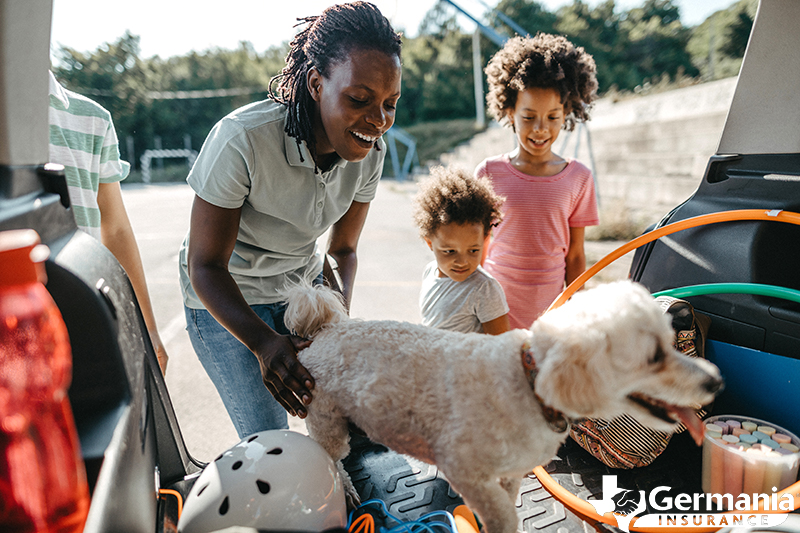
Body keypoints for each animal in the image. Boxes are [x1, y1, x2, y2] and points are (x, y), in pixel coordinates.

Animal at [282, 278, 724, 532]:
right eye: (654, 356)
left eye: (673, 340)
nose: (715, 380)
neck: (530, 384)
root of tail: (325, 329)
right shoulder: (465, 469)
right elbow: (502, 517)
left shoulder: (509, 471)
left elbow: (507, 503)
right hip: (325, 417)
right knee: (332, 456)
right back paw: (346, 488)